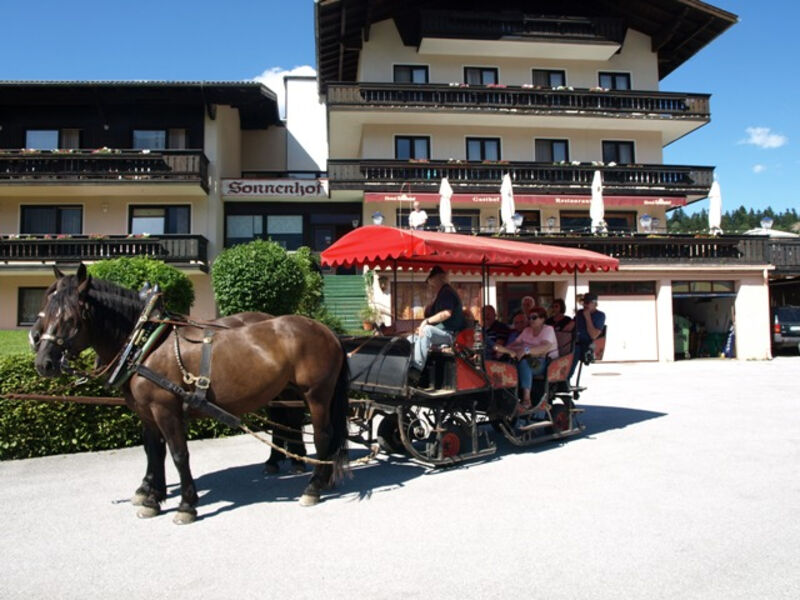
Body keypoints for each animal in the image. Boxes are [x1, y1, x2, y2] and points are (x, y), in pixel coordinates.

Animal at [34, 264, 348, 524]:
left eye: (69, 317)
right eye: (45, 311)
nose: (43, 362)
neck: (145, 342)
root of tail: (327, 331)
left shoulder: (165, 409)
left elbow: (178, 454)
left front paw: (185, 505)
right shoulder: (146, 411)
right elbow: (154, 451)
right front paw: (152, 497)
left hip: (317, 394)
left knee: (323, 435)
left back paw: (313, 486)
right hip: (287, 391)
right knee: (289, 423)